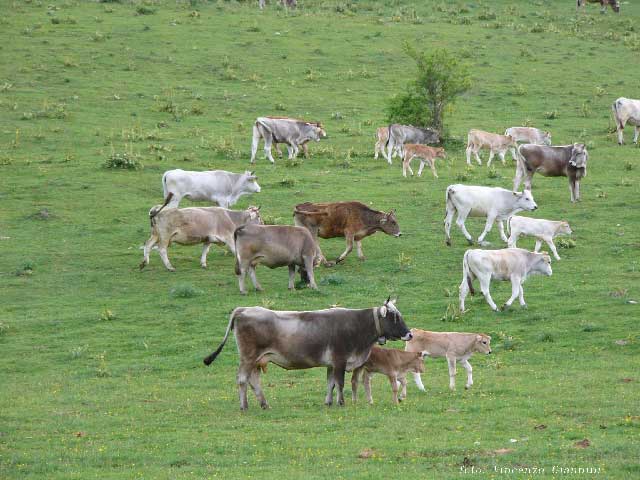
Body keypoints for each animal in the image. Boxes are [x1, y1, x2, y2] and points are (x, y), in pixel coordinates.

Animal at [205, 298, 416, 410]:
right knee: (242, 379)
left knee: (254, 380)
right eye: (395, 317)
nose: (409, 334)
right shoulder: (340, 360)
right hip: (248, 357)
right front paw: (341, 402)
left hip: (257, 360)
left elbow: (330, 383)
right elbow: (340, 383)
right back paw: (244, 406)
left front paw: (328, 402)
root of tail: (245, 309)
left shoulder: (331, 363)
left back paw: (264, 404)